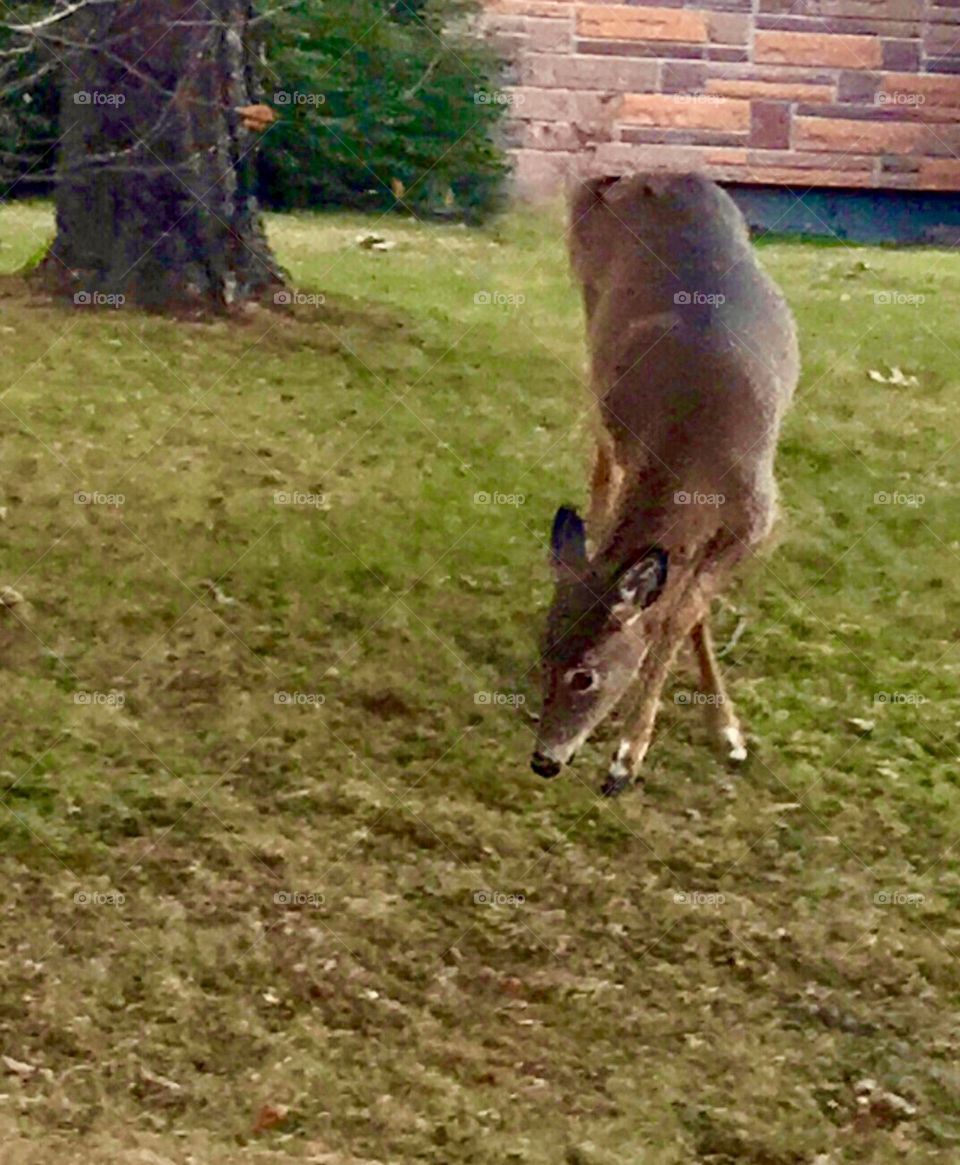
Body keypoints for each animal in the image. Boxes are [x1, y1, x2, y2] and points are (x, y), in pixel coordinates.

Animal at [530, 172, 799, 797]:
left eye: (585, 676)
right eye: (544, 653)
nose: (544, 760)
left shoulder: (758, 521)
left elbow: (680, 612)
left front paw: (638, 755)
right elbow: (679, 603)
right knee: (600, 473)